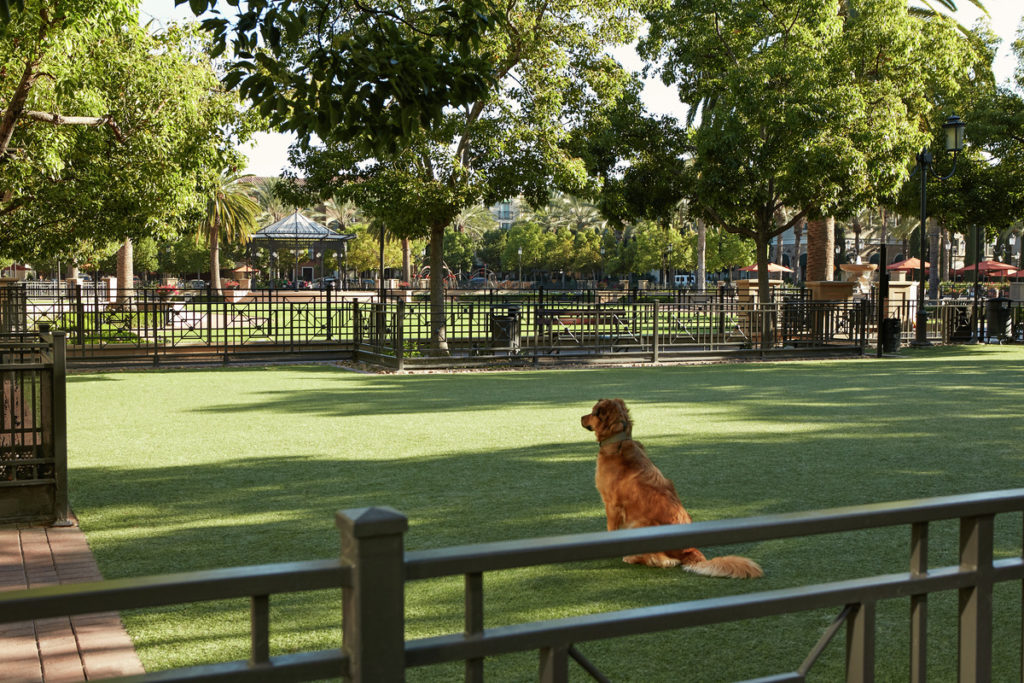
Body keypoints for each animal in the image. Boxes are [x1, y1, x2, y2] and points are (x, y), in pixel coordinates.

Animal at [581, 397, 765, 581]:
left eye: (592, 412)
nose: (580, 417)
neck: (618, 440)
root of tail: (691, 551)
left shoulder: (611, 504)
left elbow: (610, 529)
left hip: (639, 523)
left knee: (663, 560)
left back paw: (631, 557)